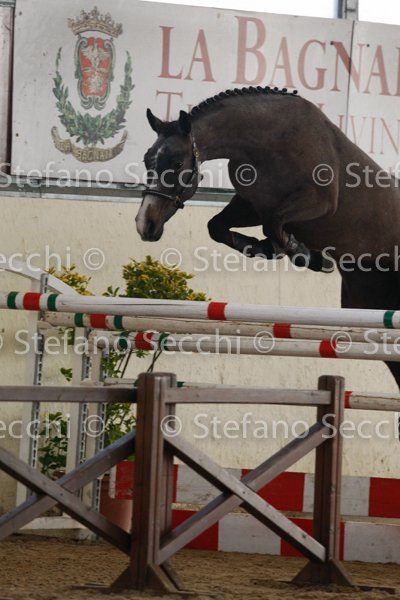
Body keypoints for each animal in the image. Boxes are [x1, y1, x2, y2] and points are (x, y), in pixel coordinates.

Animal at [136, 86, 400, 388]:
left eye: (177, 163)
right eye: (147, 160)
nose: (145, 224)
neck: (267, 143)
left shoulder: (318, 202)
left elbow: (273, 224)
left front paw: (304, 254)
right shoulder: (251, 206)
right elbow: (218, 226)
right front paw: (269, 249)